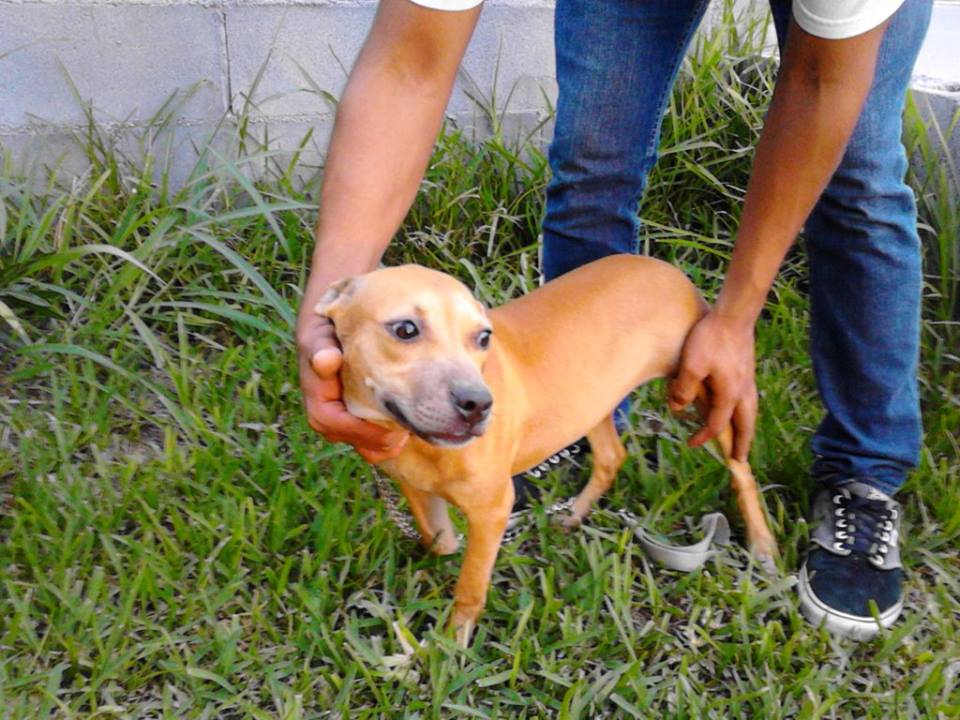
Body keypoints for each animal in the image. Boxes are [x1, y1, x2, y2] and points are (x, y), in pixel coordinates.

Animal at [316, 254, 778, 645]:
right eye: (405, 329)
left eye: (483, 337)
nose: (478, 404)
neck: (411, 438)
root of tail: (668, 269)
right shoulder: (414, 486)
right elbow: (440, 540)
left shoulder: (493, 509)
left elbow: (470, 586)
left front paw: (452, 645)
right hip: (591, 402)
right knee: (611, 458)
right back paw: (575, 515)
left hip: (709, 393)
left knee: (741, 469)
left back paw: (763, 547)